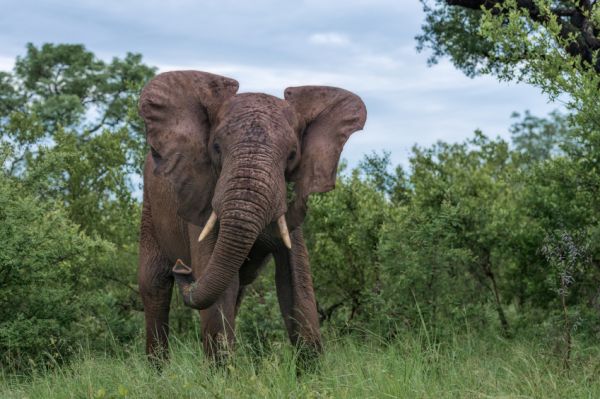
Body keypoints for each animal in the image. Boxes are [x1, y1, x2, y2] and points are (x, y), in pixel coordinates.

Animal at [137, 70, 366, 364]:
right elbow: (218, 287)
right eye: (216, 147)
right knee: (155, 286)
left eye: (292, 155)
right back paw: (159, 371)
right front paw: (224, 374)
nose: (182, 269)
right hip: (149, 209)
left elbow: (297, 282)